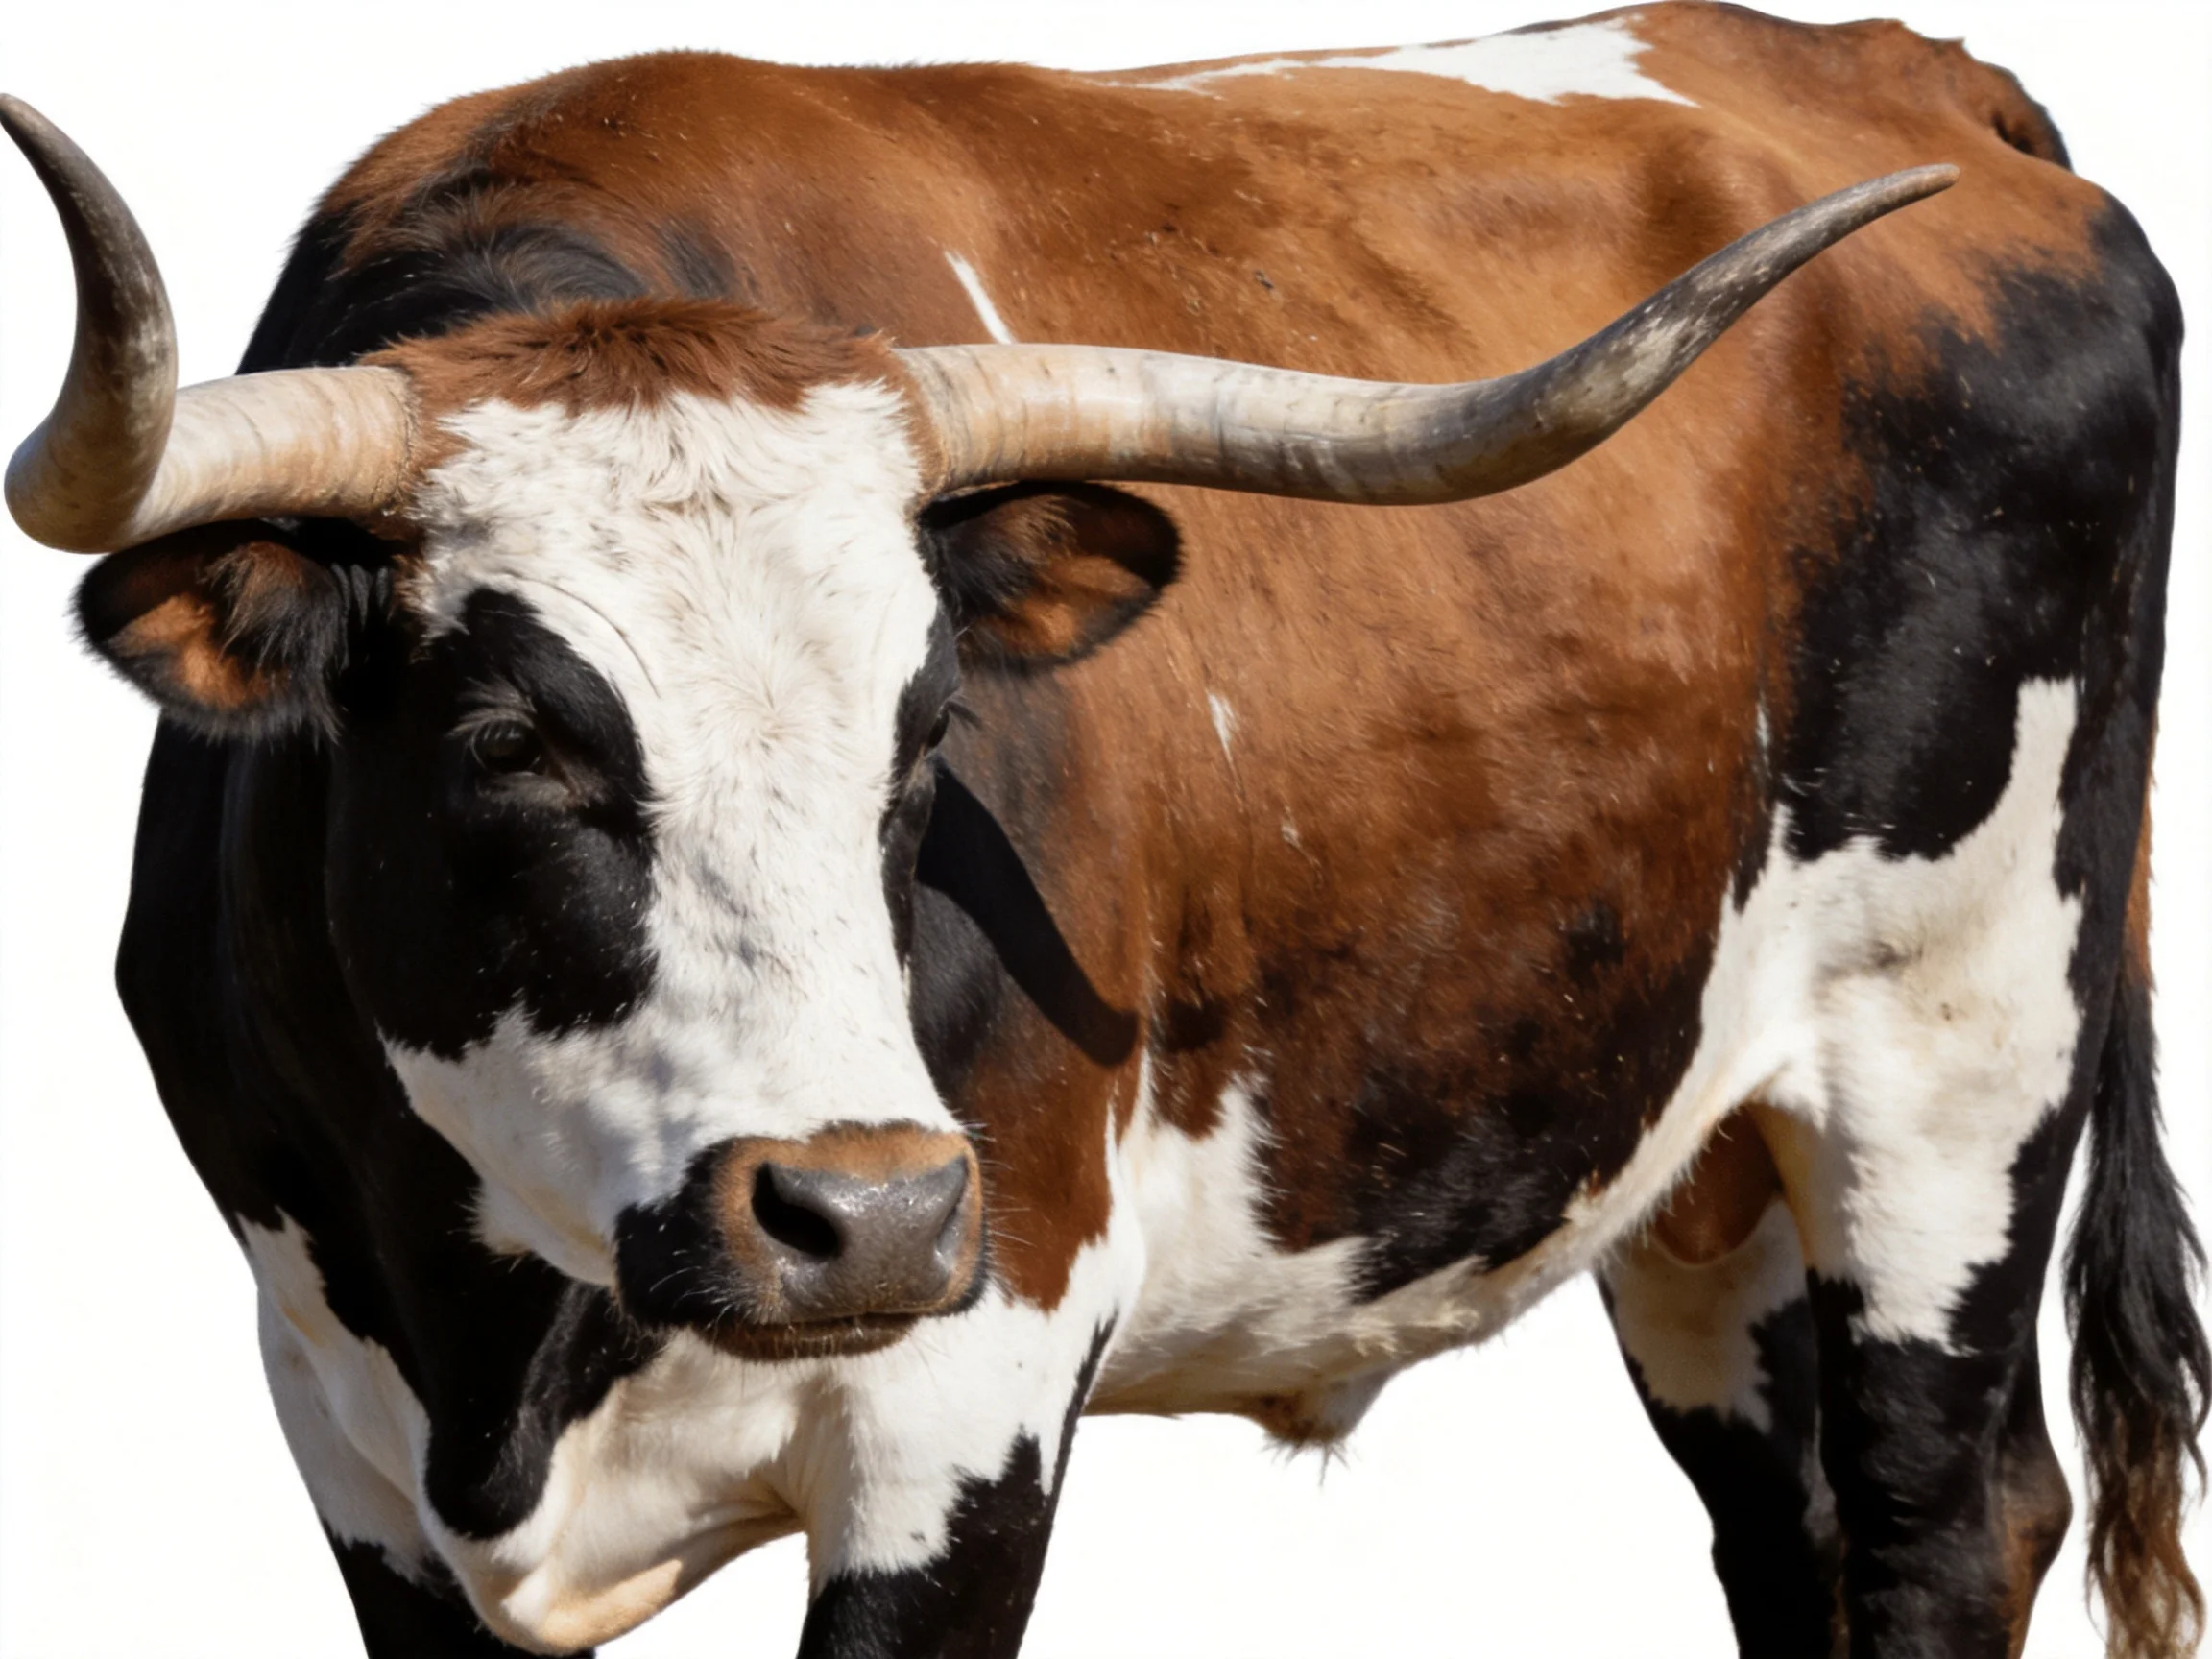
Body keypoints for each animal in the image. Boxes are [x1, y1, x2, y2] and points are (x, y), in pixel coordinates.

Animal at [1, 4, 2202, 1655]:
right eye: (504, 739)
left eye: (928, 731)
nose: (867, 1211)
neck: (510, 1348)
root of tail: (1916, 77)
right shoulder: (348, 1437)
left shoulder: (965, 1400)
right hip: (1693, 1159)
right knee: (1794, 1525)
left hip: (1960, 1054)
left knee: (1947, 1509)